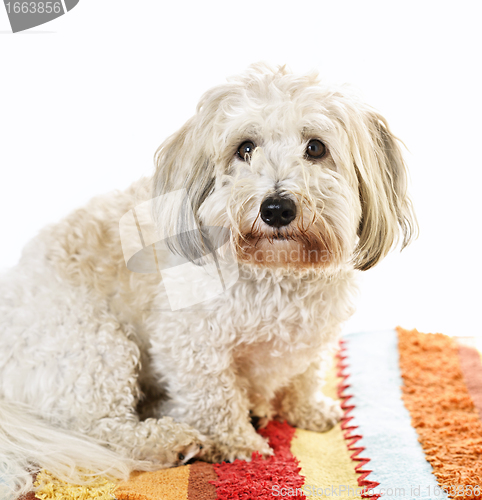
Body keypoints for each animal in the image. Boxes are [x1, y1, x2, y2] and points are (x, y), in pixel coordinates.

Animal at [0, 64, 414, 498]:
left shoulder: (314, 334)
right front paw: (240, 446)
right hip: (95, 345)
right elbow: (216, 398)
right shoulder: (189, 342)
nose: (277, 208)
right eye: (245, 148)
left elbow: (305, 373)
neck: (277, 273)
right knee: (97, 428)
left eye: (316, 148)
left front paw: (307, 409)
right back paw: (169, 440)